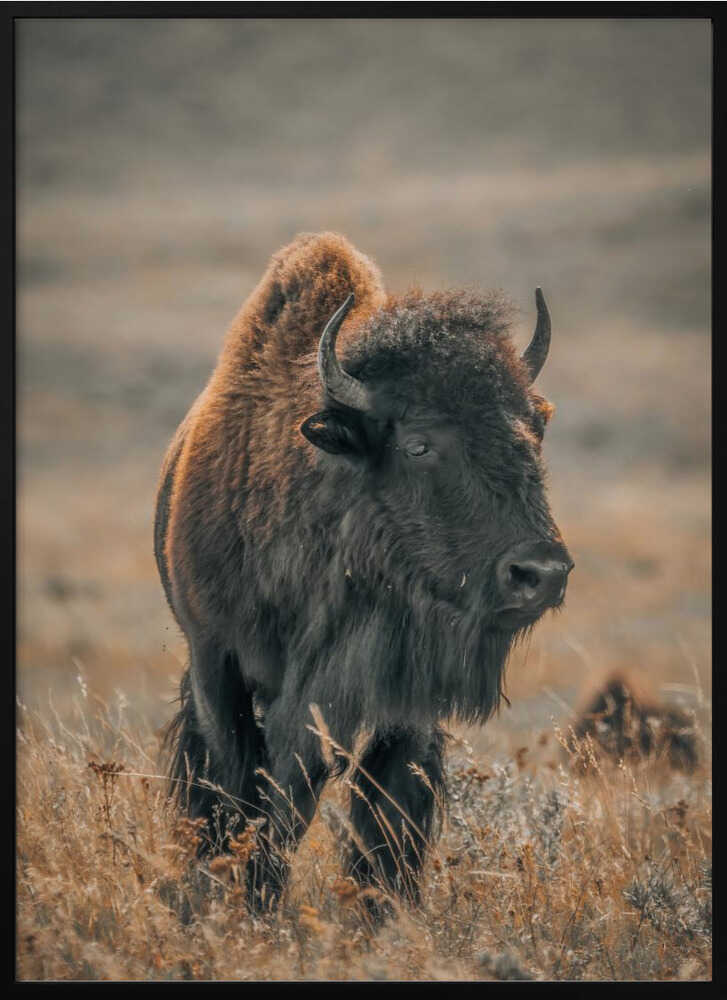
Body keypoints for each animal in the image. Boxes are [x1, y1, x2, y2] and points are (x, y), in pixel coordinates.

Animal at [155, 232, 573, 914]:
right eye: (419, 444)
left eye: (533, 430)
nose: (541, 573)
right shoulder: (218, 663)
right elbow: (247, 791)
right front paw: (243, 899)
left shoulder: (401, 701)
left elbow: (386, 814)